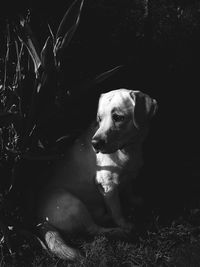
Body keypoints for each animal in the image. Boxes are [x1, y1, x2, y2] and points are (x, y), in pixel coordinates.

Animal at [36, 89, 158, 260]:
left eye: (118, 117)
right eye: (99, 119)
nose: (95, 144)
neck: (128, 149)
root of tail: (40, 221)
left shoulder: (128, 176)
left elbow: (129, 190)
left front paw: (135, 200)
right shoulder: (108, 187)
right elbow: (117, 211)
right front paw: (125, 224)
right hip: (71, 203)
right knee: (94, 229)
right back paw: (117, 230)